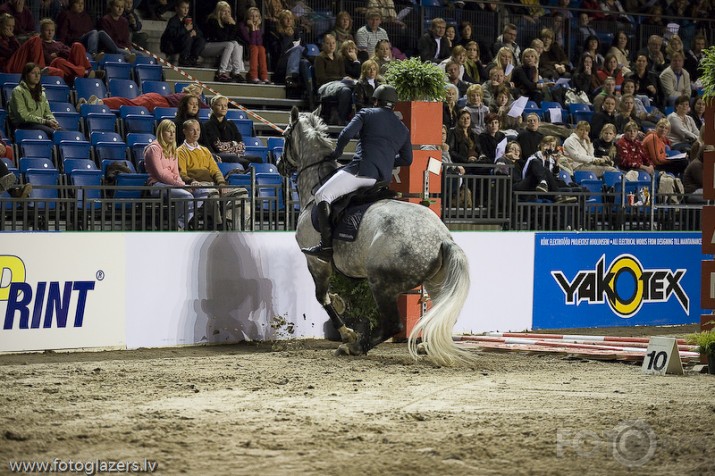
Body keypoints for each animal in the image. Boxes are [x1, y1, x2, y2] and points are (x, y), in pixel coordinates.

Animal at [282, 108, 476, 366]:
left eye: (285, 136)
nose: (279, 165)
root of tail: (443, 239)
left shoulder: (316, 260)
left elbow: (321, 297)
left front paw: (347, 332)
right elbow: (331, 296)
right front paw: (341, 306)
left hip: (382, 284)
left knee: (393, 325)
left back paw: (354, 347)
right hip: (435, 282)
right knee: (441, 313)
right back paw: (425, 345)